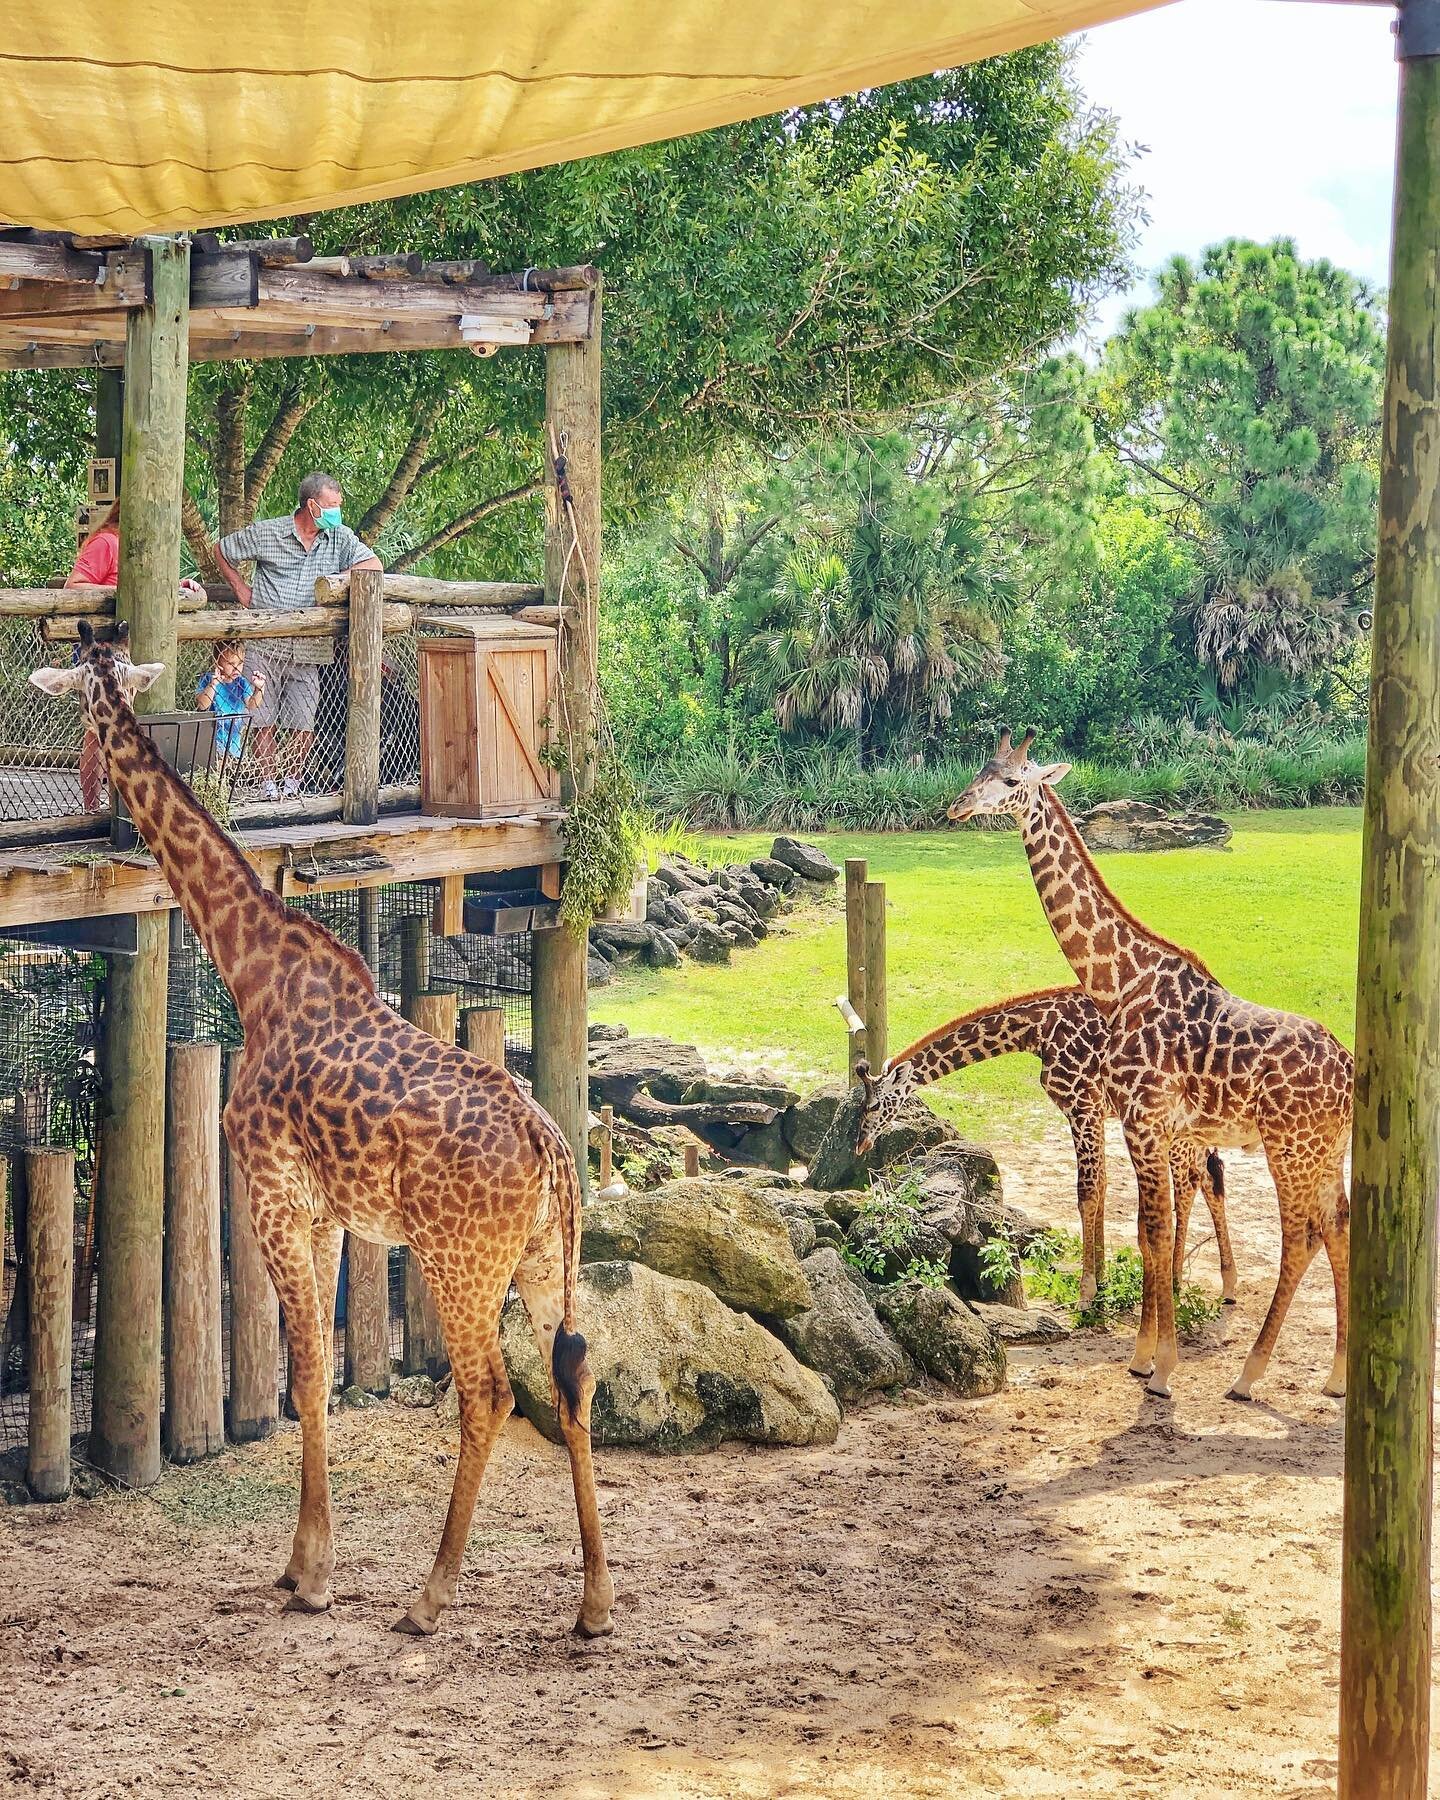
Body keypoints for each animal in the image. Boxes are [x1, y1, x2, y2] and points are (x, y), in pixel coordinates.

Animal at [29, 626, 612, 1641]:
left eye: (86, 703)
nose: (89, 772)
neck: (252, 967)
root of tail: (551, 1155)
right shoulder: (336, 1213)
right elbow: (319, 1378)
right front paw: (308, 1562)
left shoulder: (271, 1196)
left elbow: (300, 1375)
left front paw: (310, 1575)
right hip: (547, 1256)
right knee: (570, 1377)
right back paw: (596, 1604)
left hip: (461, 1260)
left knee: (492, 1393)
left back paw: (430, 1597)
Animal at [856, 986, 1238, 1310]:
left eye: (873, 1105)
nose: (861, 1144)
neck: (1036, 1033)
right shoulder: (1095, 1111)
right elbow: (1101, 1187)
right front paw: (1103, 1282)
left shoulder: (1081, 1105)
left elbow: (1087, 1193)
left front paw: (1086, 1294)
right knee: (1209, 1176)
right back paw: (1220, 1284)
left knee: (1190, 1183)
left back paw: (1180, 1282)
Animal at [943, 730, 1353, 1404]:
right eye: (980, 768)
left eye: (1012, 780)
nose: (956, 807)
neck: (1119, 983)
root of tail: (1349, 1075)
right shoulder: (1156, 1128)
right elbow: (1147, 1230)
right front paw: (1141, 1357)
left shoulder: (1141, 1120)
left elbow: (1155, 1232)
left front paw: (1160, 1369)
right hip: (1327, 1148)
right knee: (1338, 1224)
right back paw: (1339, 1376)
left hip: (1287, 1147)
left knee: (1300, 1237)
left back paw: (1248, 1376)